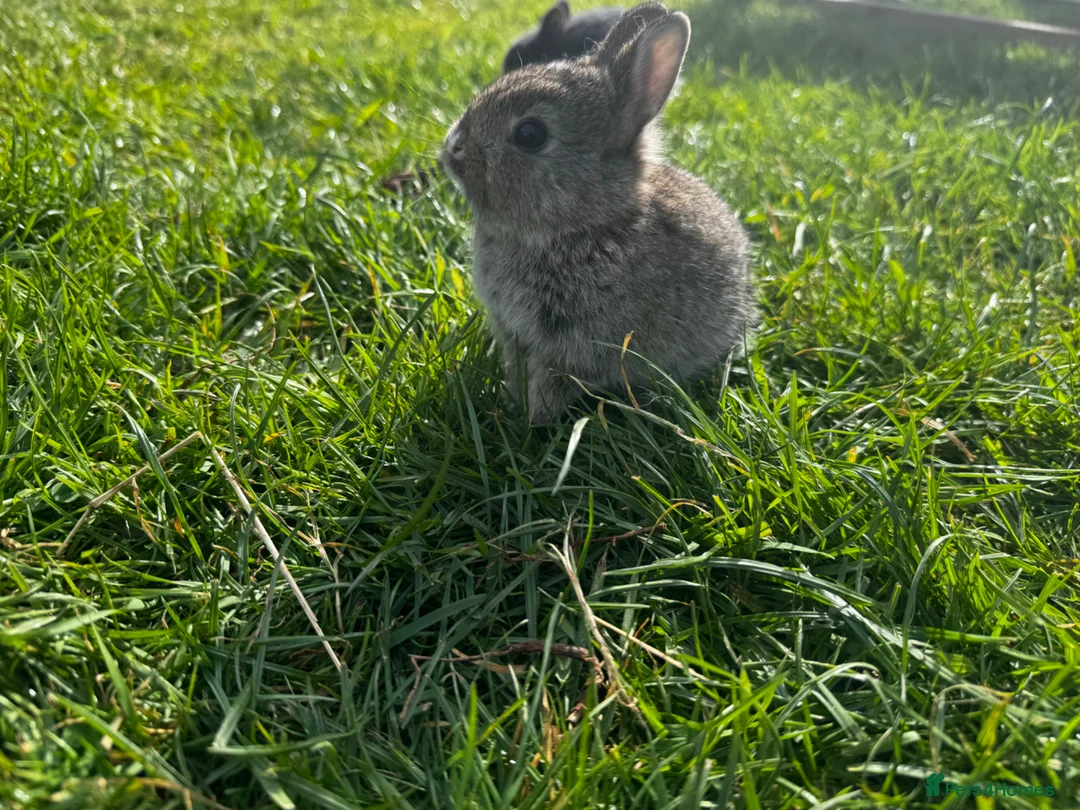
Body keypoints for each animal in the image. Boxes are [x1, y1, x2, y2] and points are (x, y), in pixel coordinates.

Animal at [440, 2, 753, 424]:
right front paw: (511, 402)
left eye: (530, 135)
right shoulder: (513, 333)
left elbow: (551, 385)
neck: (585, 223)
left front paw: (530, 420)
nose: (452, 146)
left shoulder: (574, 347)